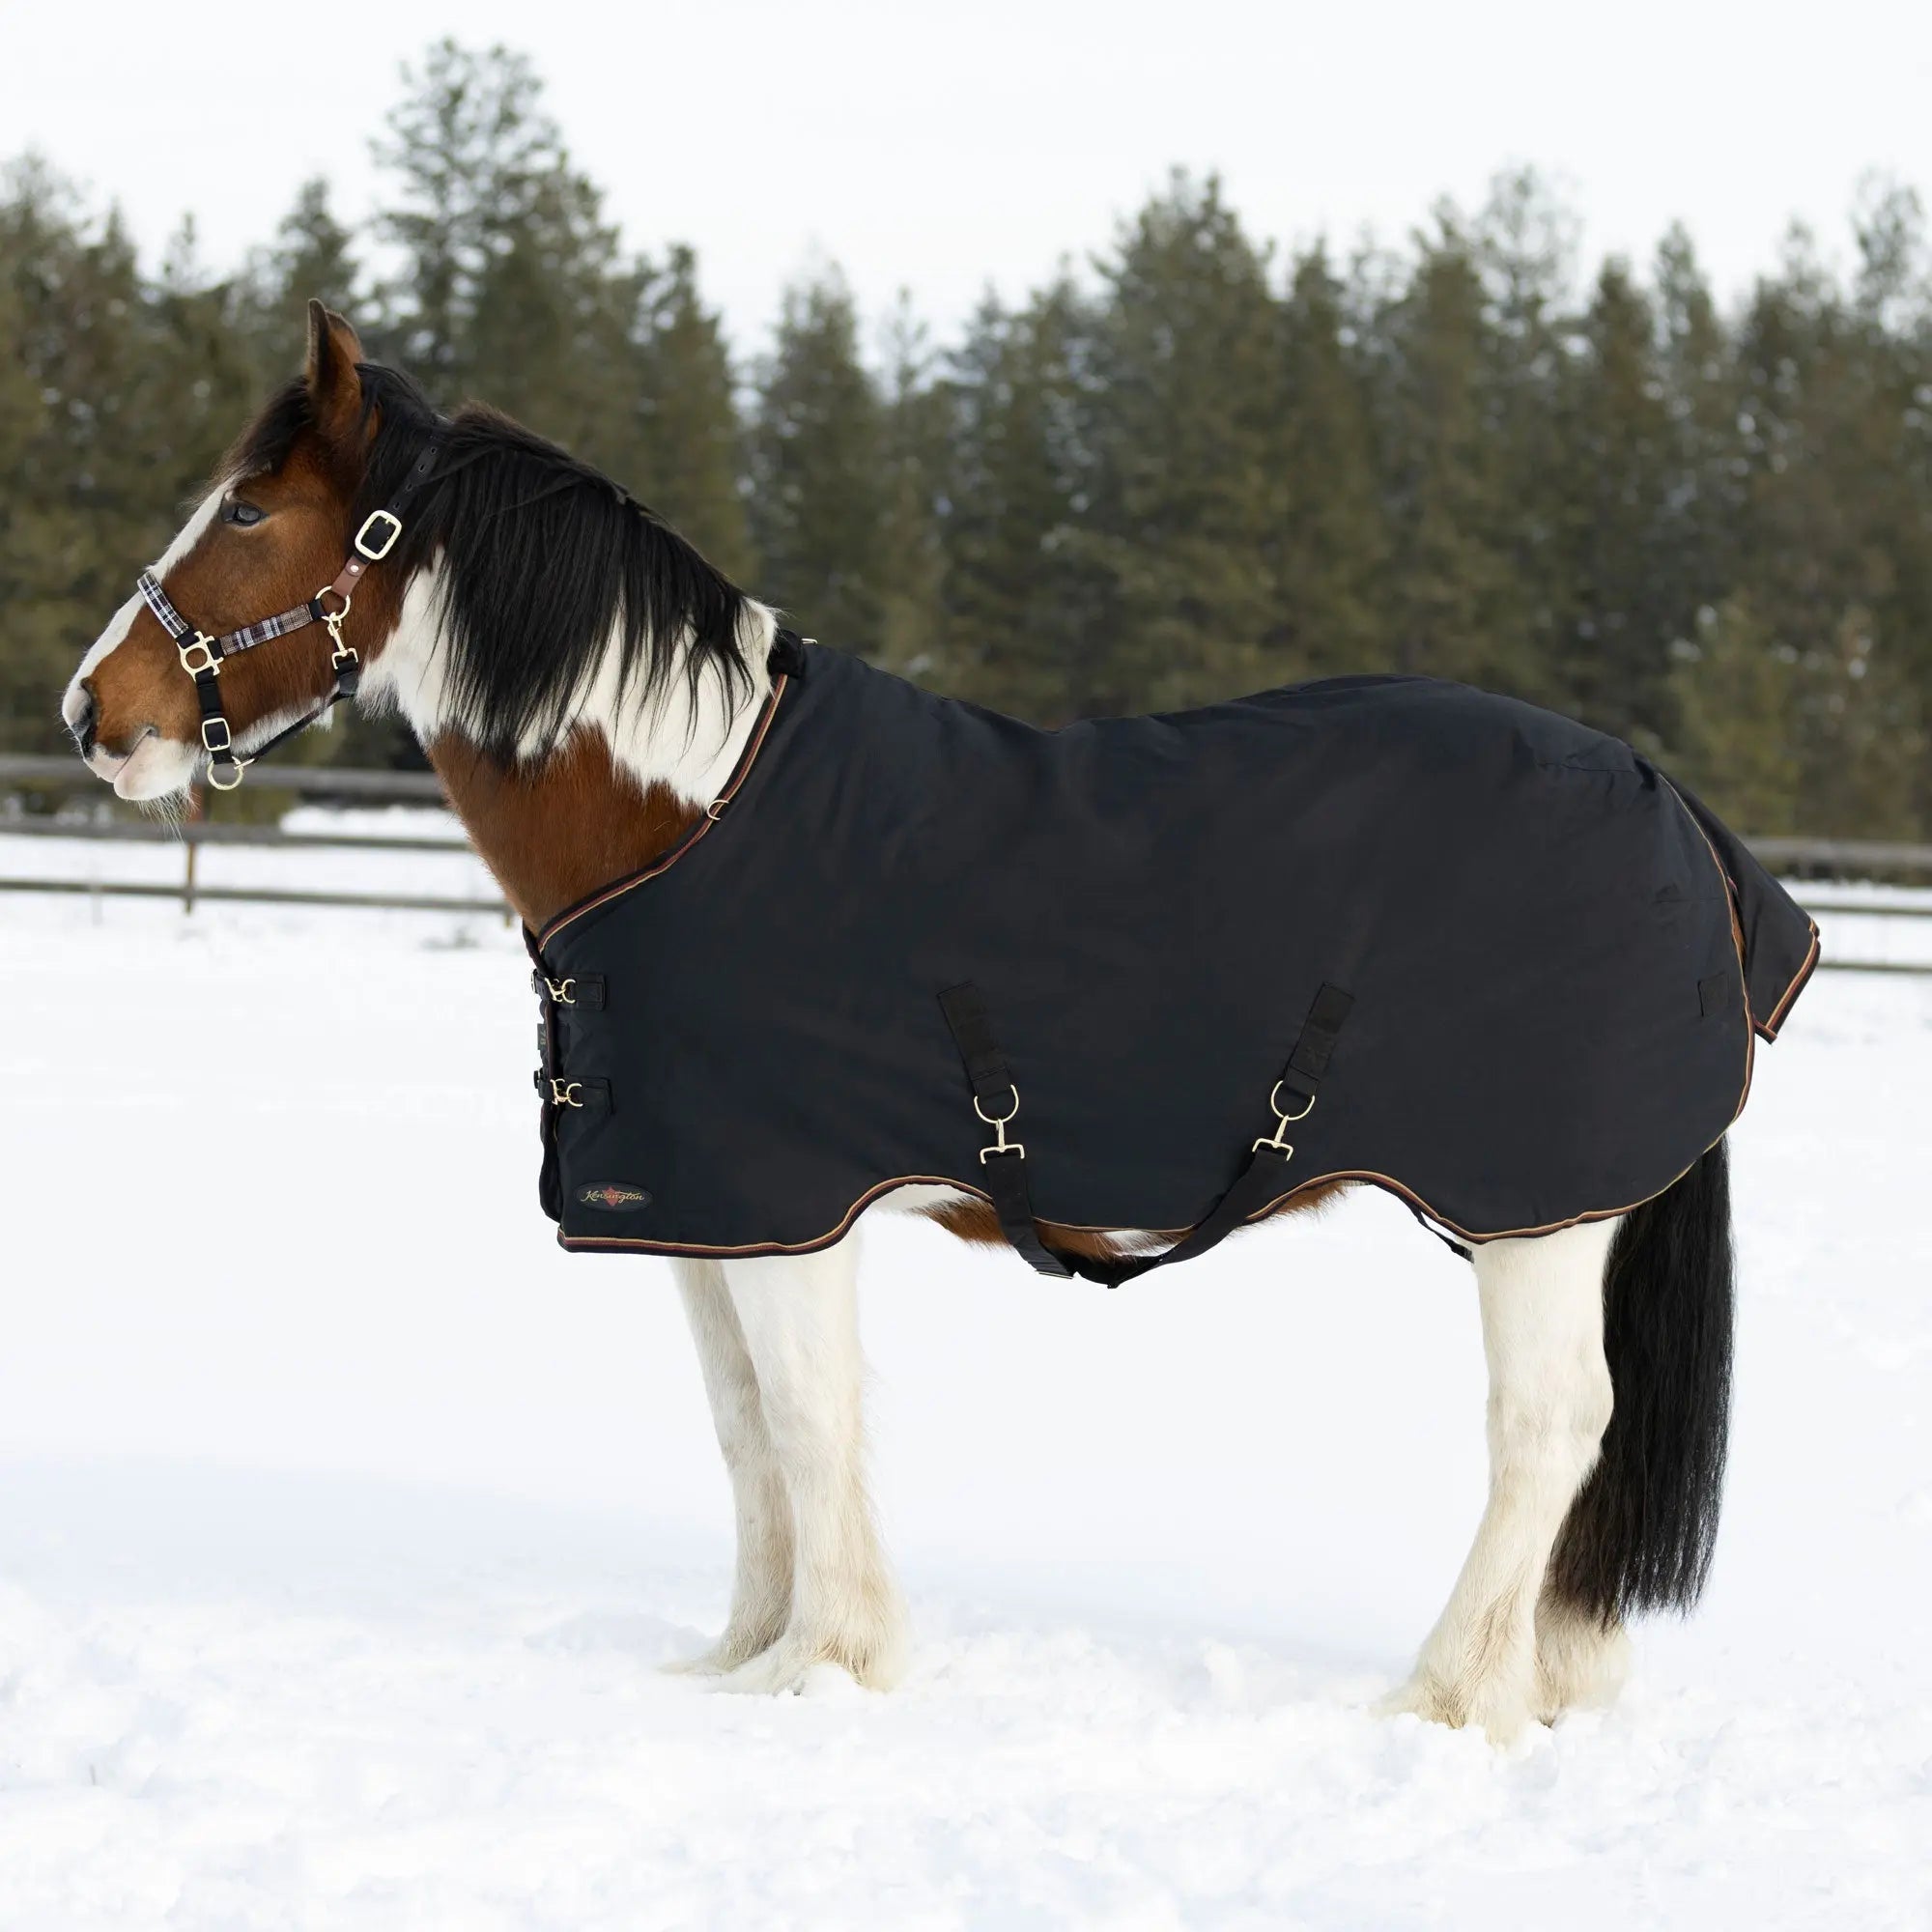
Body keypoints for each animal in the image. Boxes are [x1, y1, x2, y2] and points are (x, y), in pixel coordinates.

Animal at [61, 301, 1816, 1743]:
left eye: (246, 509)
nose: (92, 714)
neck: (692, 818)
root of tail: (1669, 806)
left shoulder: (792, 1214)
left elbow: (811, 1419)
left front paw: (830, 1668)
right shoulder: (702, 1219)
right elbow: (744, 1434)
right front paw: (739, 1660)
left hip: (1536, 1219)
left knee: (1552, 1429)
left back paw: (1445, 1697)